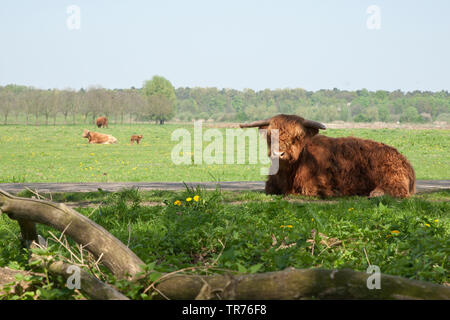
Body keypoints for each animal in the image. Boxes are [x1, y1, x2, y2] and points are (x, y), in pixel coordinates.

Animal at [241, 112, 416, 198]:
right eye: (270, 135)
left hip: (391, 173)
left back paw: (377, 193)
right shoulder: (271, 185)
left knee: (398, 189)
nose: (279, 153)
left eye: (296, 137)